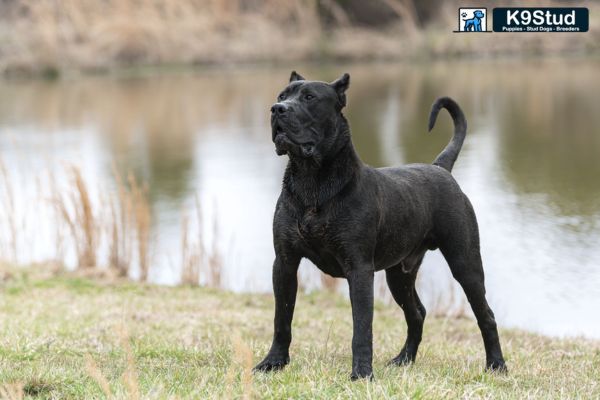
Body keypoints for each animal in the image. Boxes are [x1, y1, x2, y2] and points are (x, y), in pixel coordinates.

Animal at [253, 70, 506, 380]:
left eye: (309, 97)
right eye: (282, 95)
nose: (277, 109)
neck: (311, 181)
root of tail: (440, 168)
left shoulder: (359, 269)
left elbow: (362, 327)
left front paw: (361, 374)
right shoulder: (285, 263)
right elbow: (282, 319)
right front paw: (273, 362)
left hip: (465, 264)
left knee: (486, 315)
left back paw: (497, 365)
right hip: (399, 275)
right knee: (417, 313)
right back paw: (403, 359)